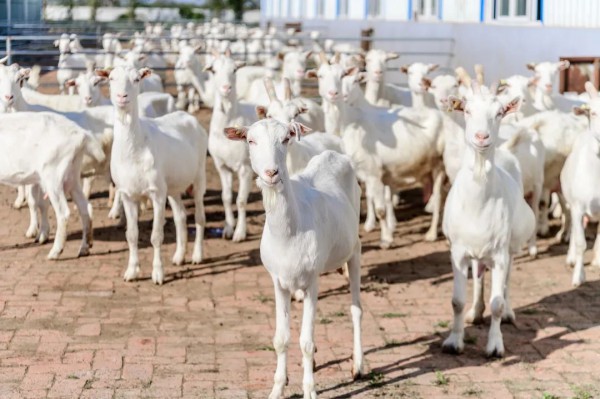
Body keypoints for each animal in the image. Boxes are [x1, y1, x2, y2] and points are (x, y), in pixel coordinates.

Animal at [226, 119, 366, 399]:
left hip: (354, 247)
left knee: (356, 309)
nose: (271, 172)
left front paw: (310, 390)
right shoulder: (278, 282)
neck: (289, 231)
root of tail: (334, 154)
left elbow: (306, 341)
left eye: (285, 139)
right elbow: (281, 339)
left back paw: (357, 366)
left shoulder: (312, 281)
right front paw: (277, 388)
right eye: (250, 140)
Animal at [442, 83, 536, 358]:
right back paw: (475, 312)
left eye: (500, 112)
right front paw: (454, 341)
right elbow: (457, 301)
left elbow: (496, 303)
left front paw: (495, 345)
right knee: (479, 275)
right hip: (477, 251)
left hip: (510, 249)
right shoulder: (458, 251)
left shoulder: (500, 252)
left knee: (506, 281)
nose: (482, 137)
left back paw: (508, 313)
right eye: (467, 110)